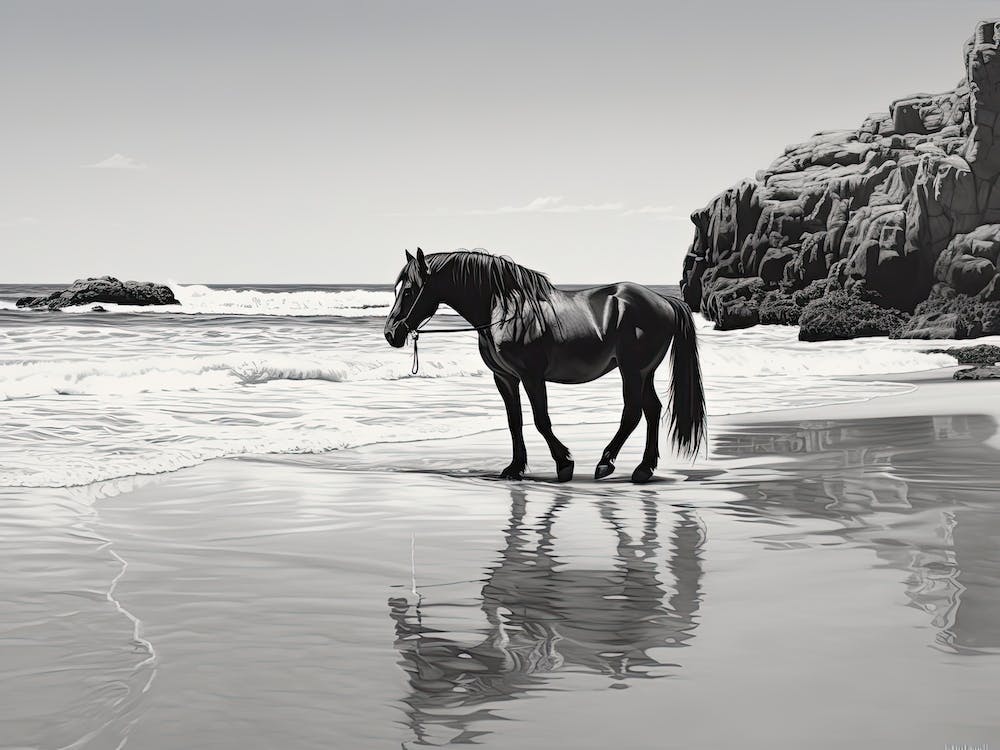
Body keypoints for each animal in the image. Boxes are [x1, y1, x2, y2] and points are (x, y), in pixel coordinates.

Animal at [384, 248, 706, 483]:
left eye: (410, 290)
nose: (391, 333)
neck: (504, 310)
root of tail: (663, 300)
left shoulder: (531, 376)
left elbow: (541, 420)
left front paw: (564, 464)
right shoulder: (504, 378)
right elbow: (514, 421)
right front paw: (515, 468)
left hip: (632, 371)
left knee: (633, 412)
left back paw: (606, 463)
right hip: (644, 372)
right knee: (652, 410)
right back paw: (643, 469)